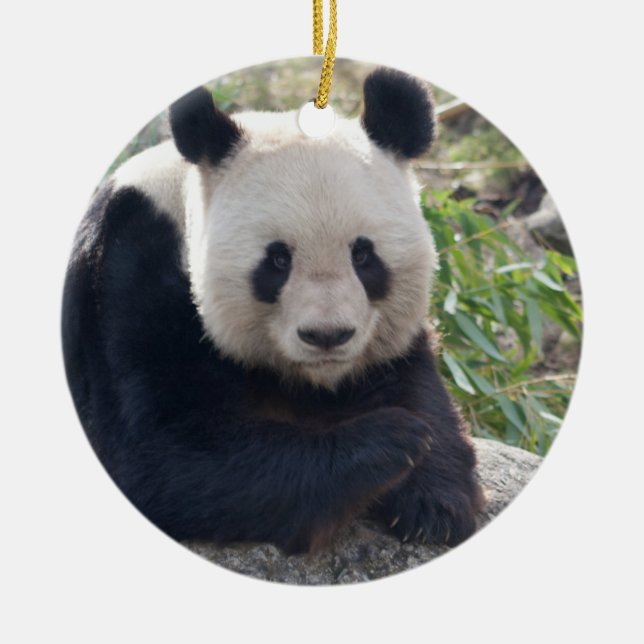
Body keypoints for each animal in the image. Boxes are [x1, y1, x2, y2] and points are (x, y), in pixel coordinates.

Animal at [62, 68, 484, 555]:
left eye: (363, 256)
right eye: (278, 260)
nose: (327, 335)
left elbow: (407, 377)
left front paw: (435, 502)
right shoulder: (127, 273)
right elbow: (161, 453)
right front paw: (392, 440)